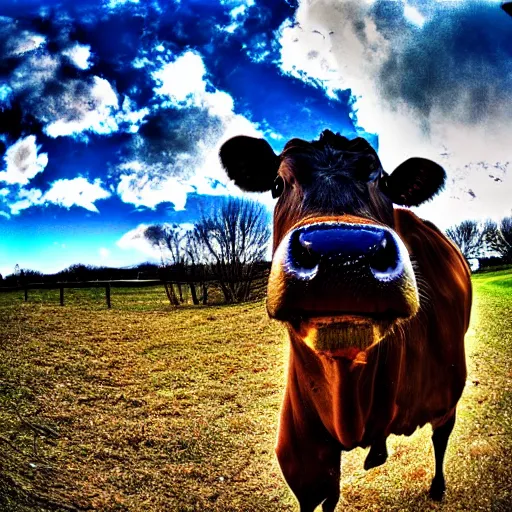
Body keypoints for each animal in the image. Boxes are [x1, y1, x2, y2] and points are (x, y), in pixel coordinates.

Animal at [220, 131, 472, 512]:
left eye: (384, 182)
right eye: (277, 185)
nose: (342, 256)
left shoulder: (447, 397)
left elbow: (440, 441)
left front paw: (438, 487)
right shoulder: (303, 449)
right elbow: (322, 496)